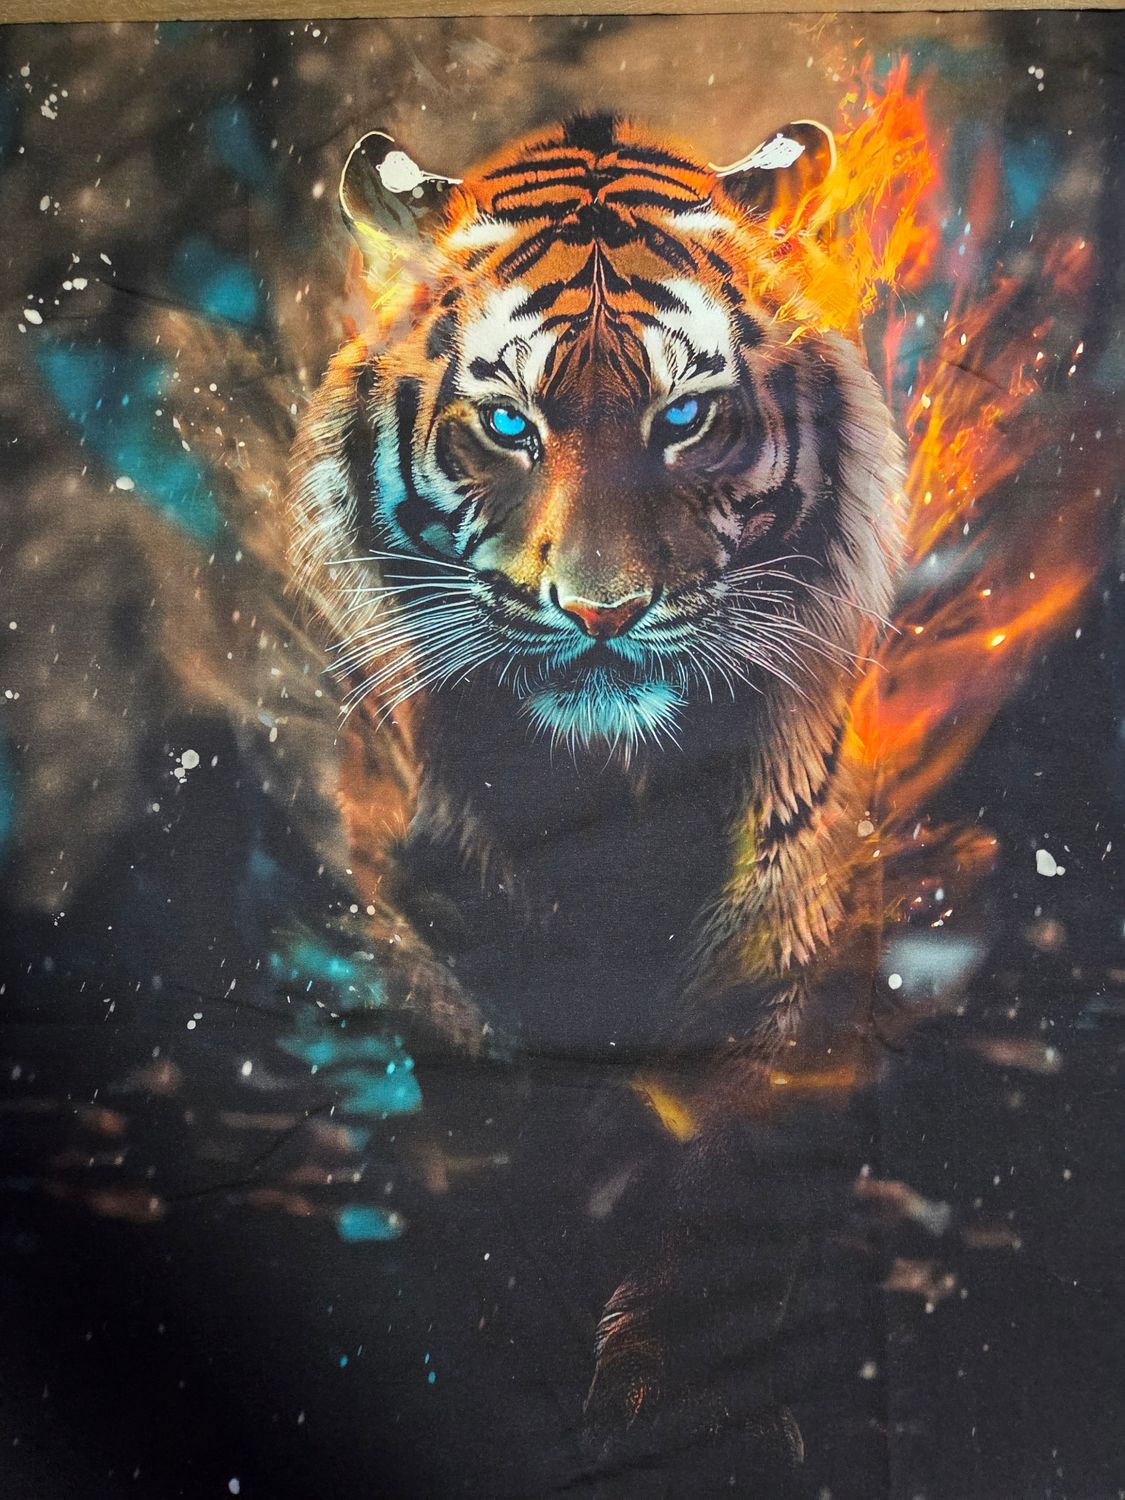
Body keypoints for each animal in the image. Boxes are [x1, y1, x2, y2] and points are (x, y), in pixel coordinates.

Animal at [286, 112, 905, 1454]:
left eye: (686, 418)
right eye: (509, 424)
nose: (604, 610)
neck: (615, 812)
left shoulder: (788, 963)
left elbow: (725, 1233)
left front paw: (660, 1402)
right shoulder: (449, 968)